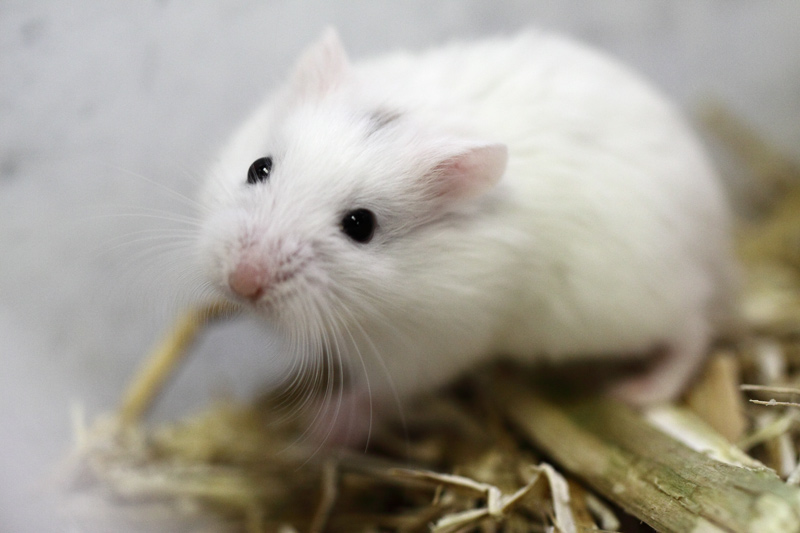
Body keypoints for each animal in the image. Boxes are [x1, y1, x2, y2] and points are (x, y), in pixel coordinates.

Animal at [196, 29, 737, 439]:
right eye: (259, 167)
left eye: (360, 226)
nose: (242, 283)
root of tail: (718, 227)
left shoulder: (425, 350)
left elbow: (375, 393)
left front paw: (320, 429)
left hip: (642, 305)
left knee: (696, 331)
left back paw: (639, 390)